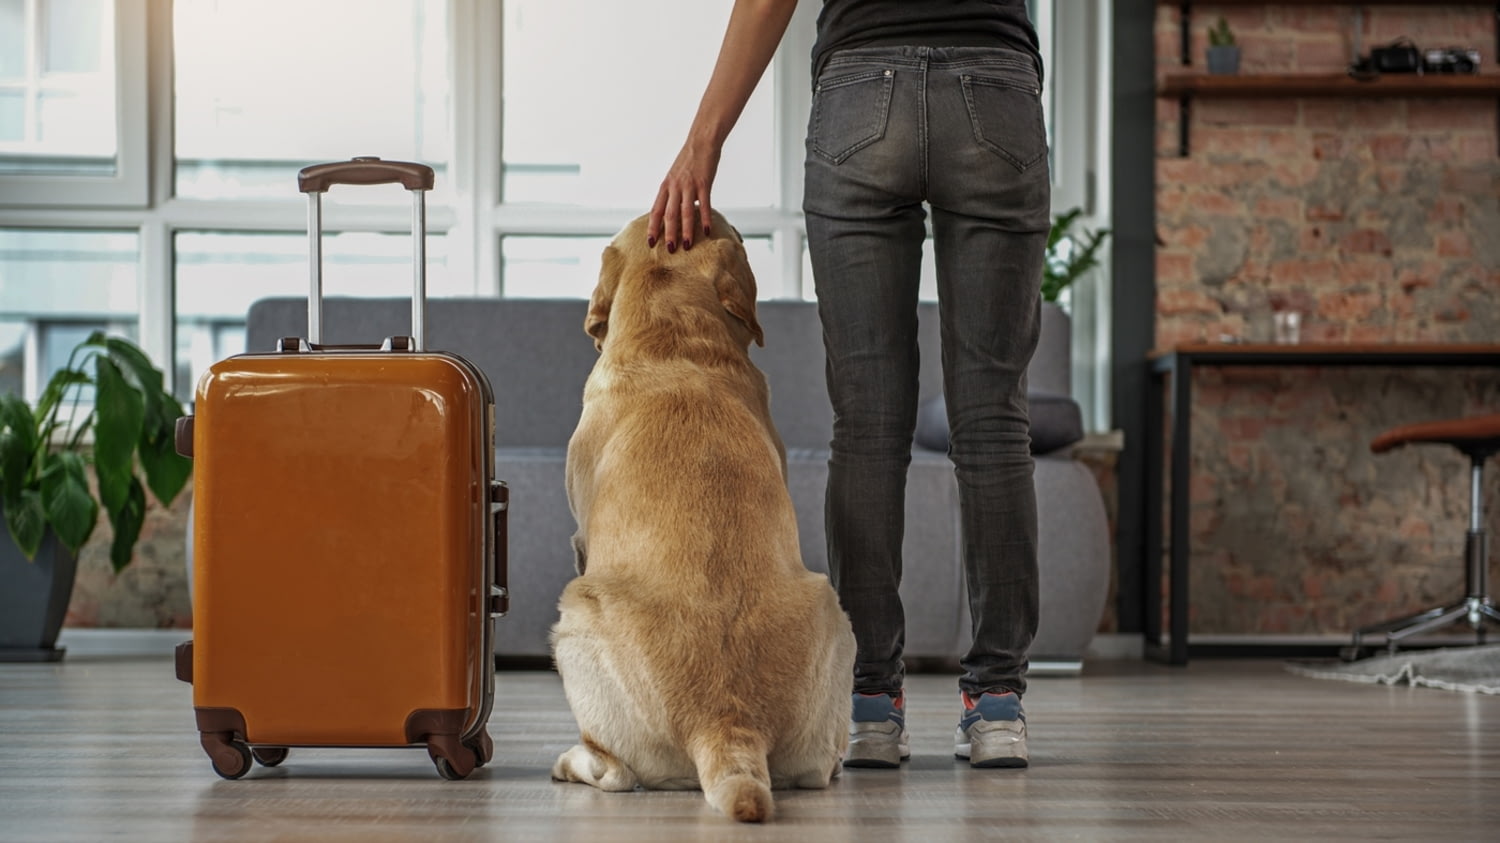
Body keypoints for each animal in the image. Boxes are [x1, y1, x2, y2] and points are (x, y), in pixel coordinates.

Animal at [552, 210, 858, 822]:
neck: (675, 346)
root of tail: (725, 722)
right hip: (834, 612)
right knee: (820, 767)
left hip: (576, 614)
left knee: (613, 771)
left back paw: (571, 762)